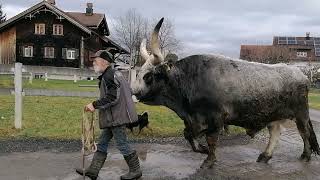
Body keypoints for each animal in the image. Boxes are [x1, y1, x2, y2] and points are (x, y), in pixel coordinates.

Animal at [131, 17, 318, 168]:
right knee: (276, 132)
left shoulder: (216, 118)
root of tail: (299, 73)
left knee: (305, 132)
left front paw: (209, 160)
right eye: (139, 73)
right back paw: (265, 156)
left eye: (148, 76)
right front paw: (203, 150)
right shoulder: (192, 121)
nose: (134, 91)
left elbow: (211, 140)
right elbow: (189, 137)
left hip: (301, 113)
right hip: (273, 114)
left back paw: (305, 156)